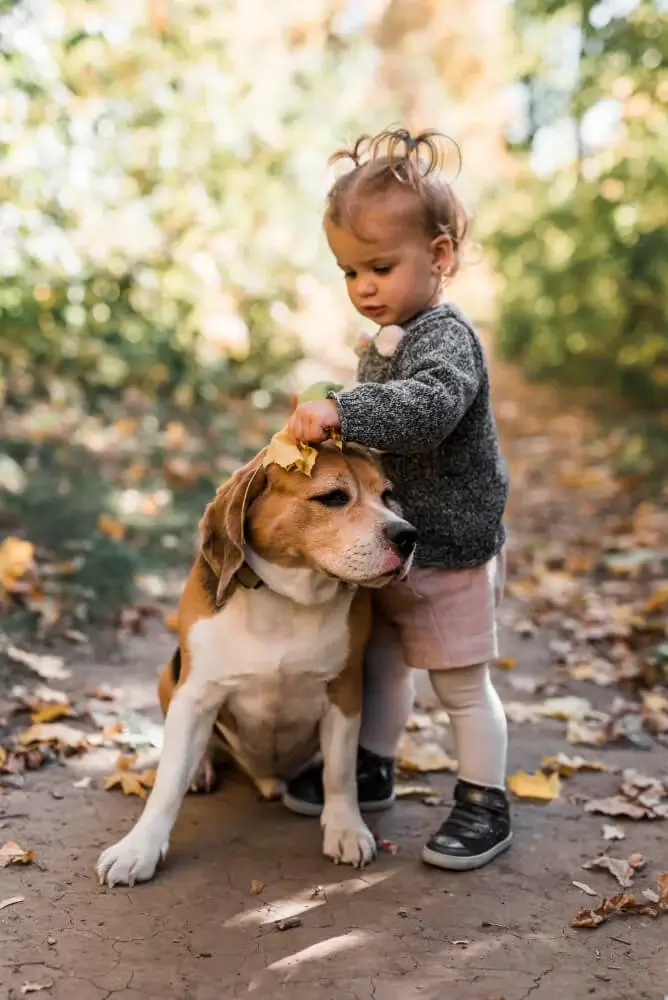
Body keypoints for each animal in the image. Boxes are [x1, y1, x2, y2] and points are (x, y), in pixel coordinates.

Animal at [96, 442, 414, 888]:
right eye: (334, 497)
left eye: (387, 496)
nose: (408, 536)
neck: (287, 601)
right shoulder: (194, 696)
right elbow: (167, 783)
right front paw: (138, 849)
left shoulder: (345, 690)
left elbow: (339, 772)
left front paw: (346, 829)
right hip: (167, 678)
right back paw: (201, 769)